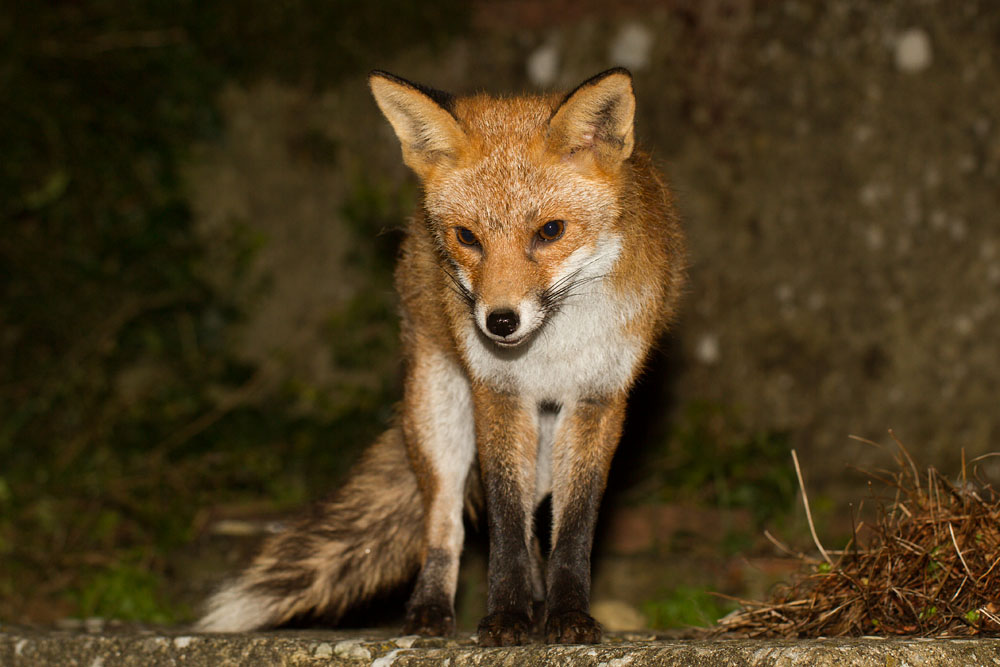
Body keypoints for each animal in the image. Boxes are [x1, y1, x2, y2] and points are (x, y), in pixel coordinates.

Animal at [197, 67, 685, 646]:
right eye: (467, 237)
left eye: (550, 231)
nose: (499, 322)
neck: (554, 346)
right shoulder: (497, 395)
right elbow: (504, 522)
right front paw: (506, 616)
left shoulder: (599, 400)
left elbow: (573, 528)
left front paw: (566, 615)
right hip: (439, 413)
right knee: (444, 519)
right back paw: (431, 610)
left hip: (544, 441)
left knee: (534, 516)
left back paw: (538, 599)